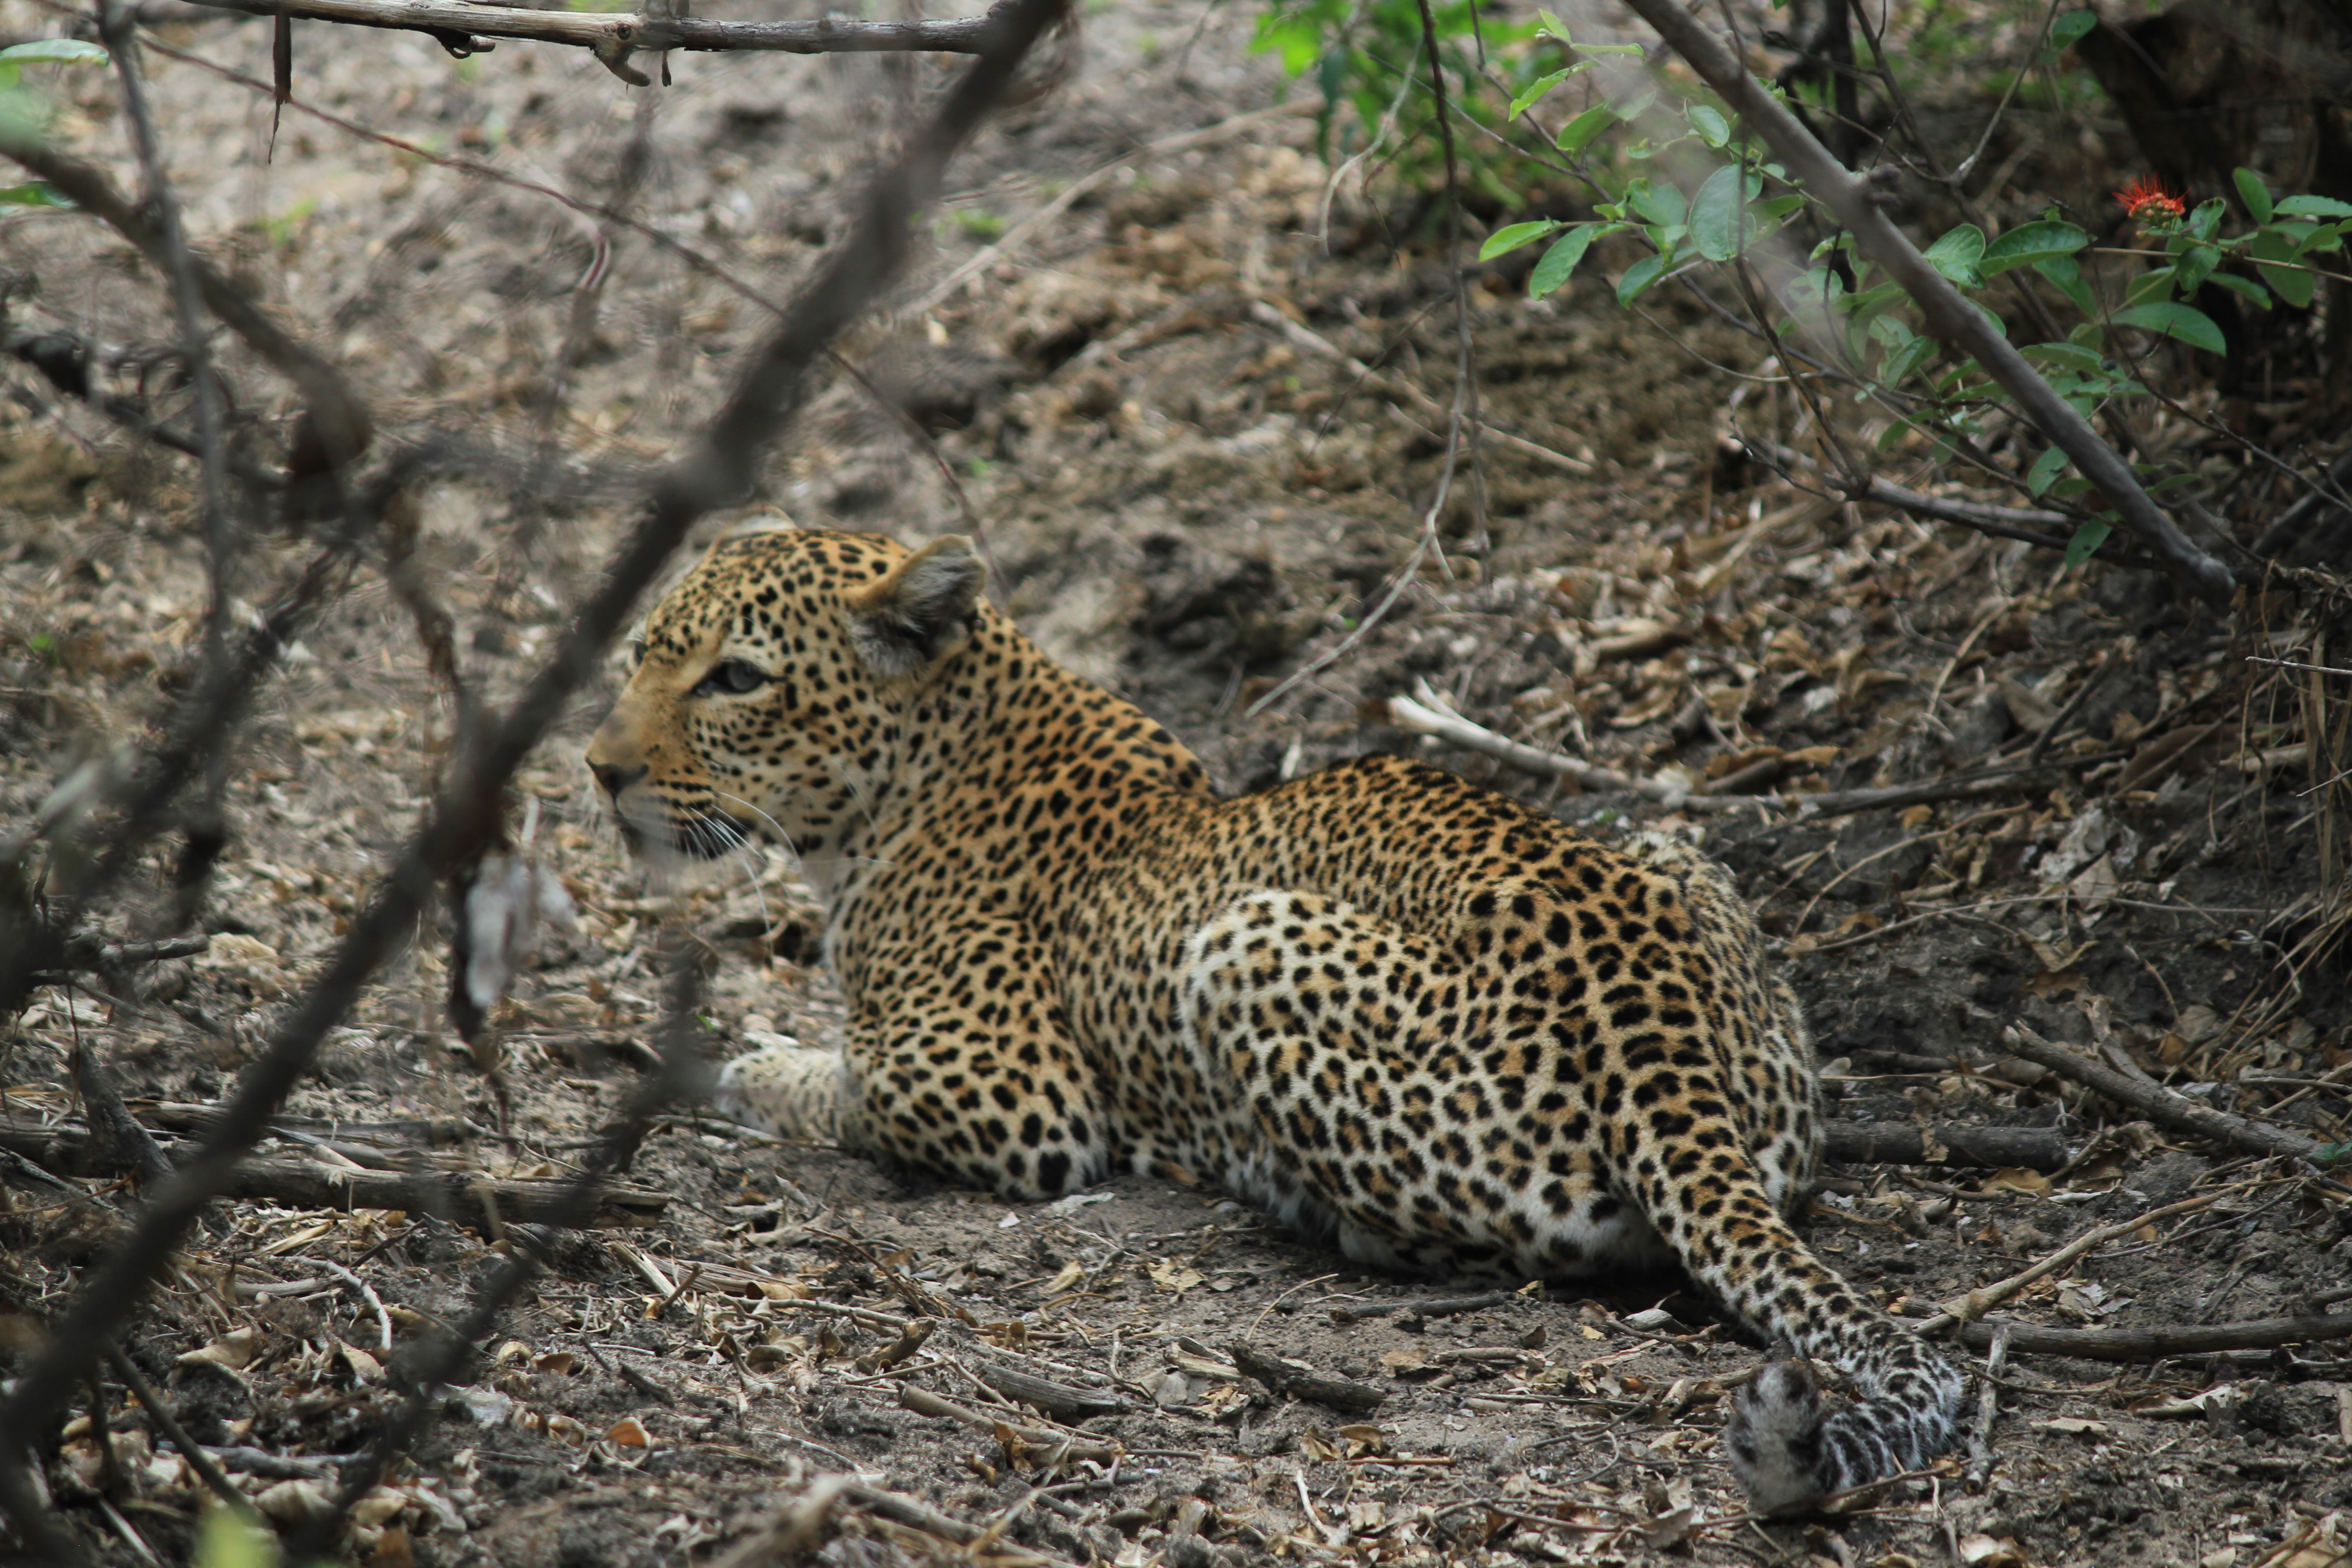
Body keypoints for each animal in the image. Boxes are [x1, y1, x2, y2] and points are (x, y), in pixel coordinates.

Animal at [585, 523, 1965, 1511]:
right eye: (641, 652)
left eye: (736, 680)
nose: (599, 767)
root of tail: (1646, 1002)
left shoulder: (1002, 1093)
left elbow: (824, 1079)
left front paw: (725, 1061)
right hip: (1679, 857)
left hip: (1238, 942)